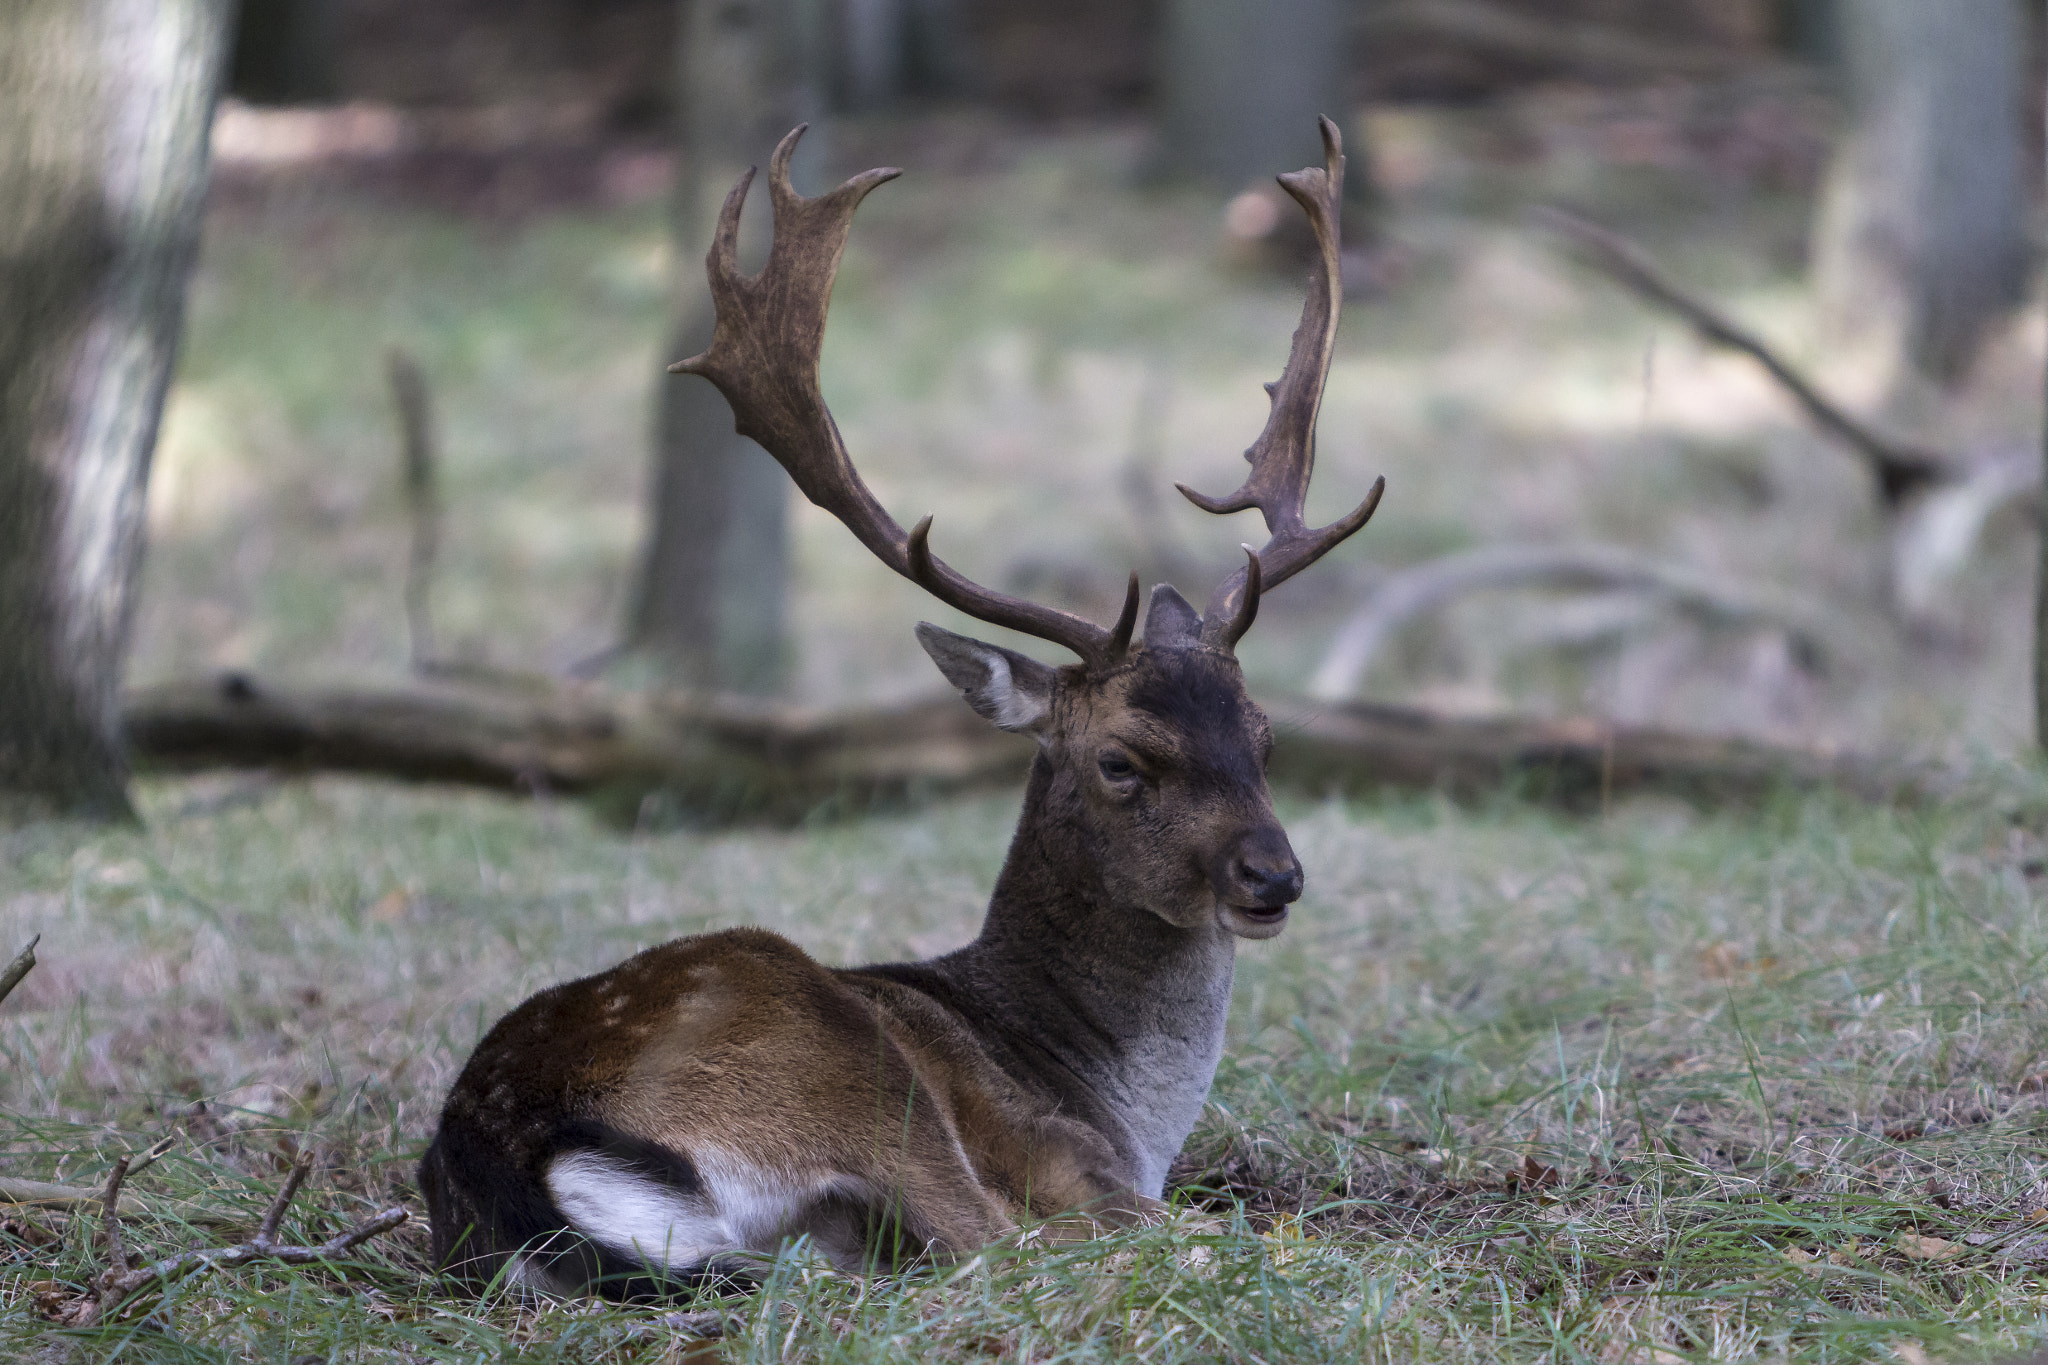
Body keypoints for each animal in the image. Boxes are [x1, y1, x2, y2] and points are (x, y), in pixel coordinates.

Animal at [418, 117, 1383, 1296]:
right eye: (1121, 760)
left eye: (1265, 737)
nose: (1272, 876)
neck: (1112, 1101)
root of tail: (512, 1156)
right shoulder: (1059, 1154)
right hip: (838, 1055)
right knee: (995, 1245)